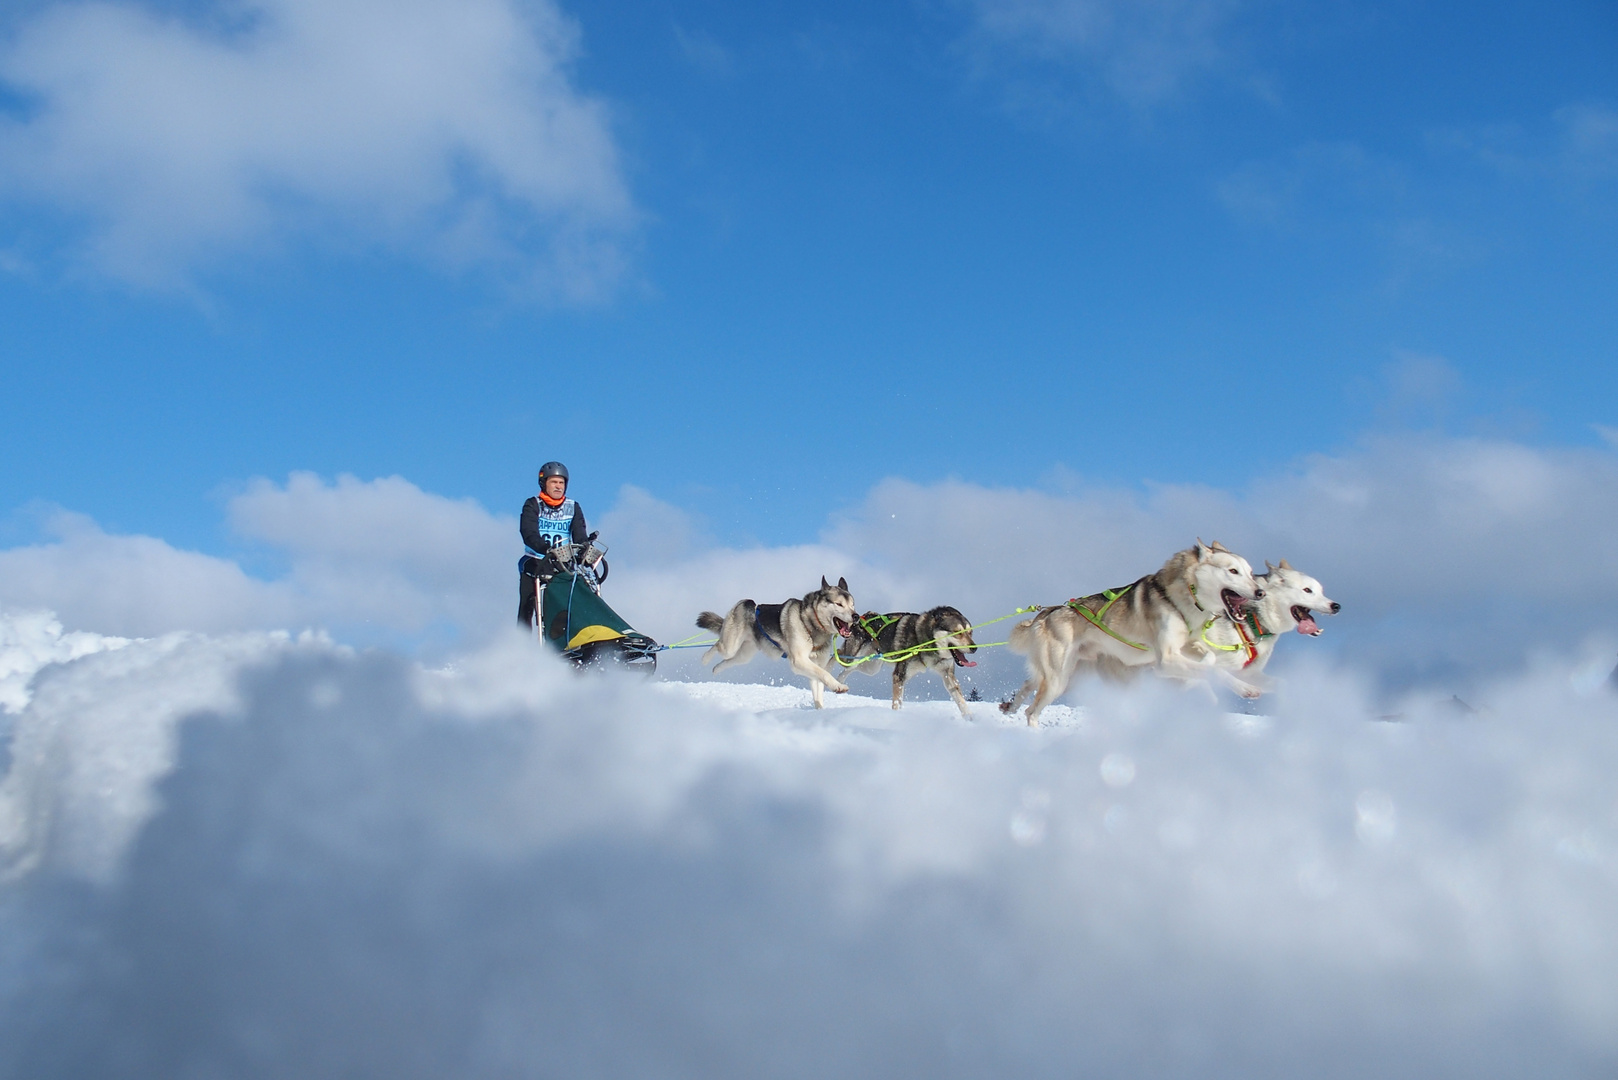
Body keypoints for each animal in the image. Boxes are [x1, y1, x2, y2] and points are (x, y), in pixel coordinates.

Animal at [695, 573, 860, 709]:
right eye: (839, 604)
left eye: (853, 605)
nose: (856, 616)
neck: (811, 625)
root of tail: (746, 603)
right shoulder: (799, 660)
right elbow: (824, 674)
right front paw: (838, 686)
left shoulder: (816, 664)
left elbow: (819, 687)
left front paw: (820, 711)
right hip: (730, 646)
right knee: (717, 645)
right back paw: (704, 659)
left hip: (743, 656)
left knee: (727, 661)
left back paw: (716, 669)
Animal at [841, 608, 977, 718]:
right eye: (958, 632)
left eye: (970, 632)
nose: (974, 648)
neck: (924, 640)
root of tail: (863, 617)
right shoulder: (899, 675)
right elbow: (897, 702)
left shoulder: (948, 674)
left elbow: (960, 700)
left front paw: (971, 718)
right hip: (852, 659)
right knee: (839, 658)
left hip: (870, 668)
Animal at [996, 540, 1262, 725]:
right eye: (1233, 571)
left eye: (1251, 573)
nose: (1260, 592)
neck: (1180, 598)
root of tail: (1048, 612)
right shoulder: (1167, 659)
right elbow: (1210, 667)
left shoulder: (1185, 646)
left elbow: (1211, 659)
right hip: (1057, 680)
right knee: (1032, 712)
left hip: (1066, 676)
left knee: (1028, 685)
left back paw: (1010, 705)